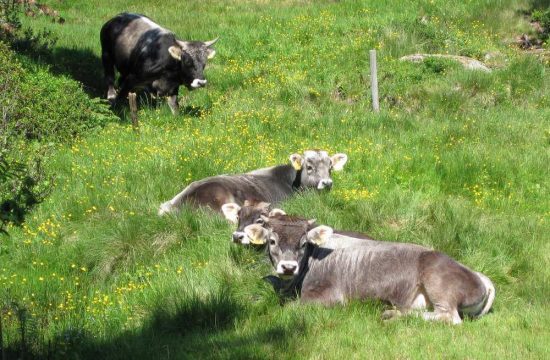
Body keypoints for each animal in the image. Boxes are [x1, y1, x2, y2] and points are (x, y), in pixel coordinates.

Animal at [245, 215, 496, 324]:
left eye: (304, 243)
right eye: (272, 241)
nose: (288, 266)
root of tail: (479, 275)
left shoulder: (330, 298)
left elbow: (289, 309)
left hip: (437, 280)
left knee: (449, 317)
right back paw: (392, 313)